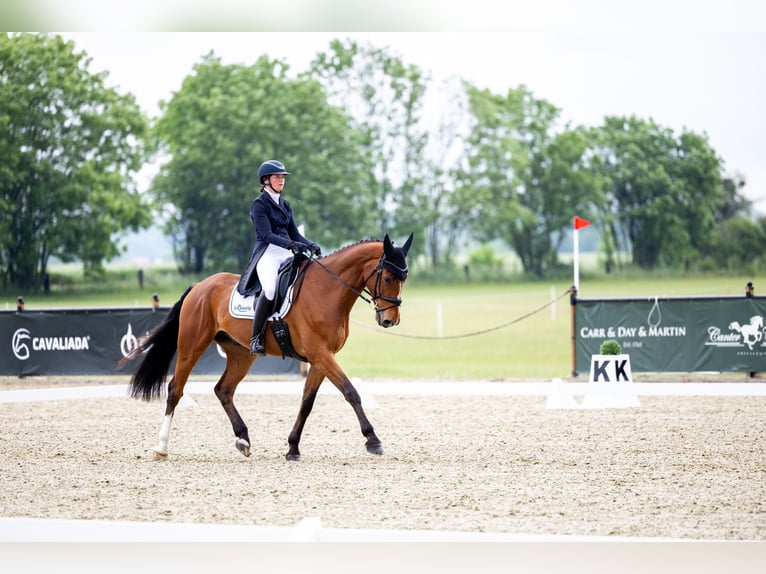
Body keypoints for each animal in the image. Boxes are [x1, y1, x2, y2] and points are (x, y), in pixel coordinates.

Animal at [118, 234, 414, 464]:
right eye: (389, 277)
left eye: (405, 278)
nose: (390, 320)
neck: (326, 290)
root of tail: (199, 286)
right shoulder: (321, 354)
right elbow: (351, 392)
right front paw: (373, 440)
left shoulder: (321, 358)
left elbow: (307, 402)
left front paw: (293, 448)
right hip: (192, 346)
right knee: (175, 390)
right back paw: (161, 447)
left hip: (240, 354)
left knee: (223, 390)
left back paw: (243, 440)